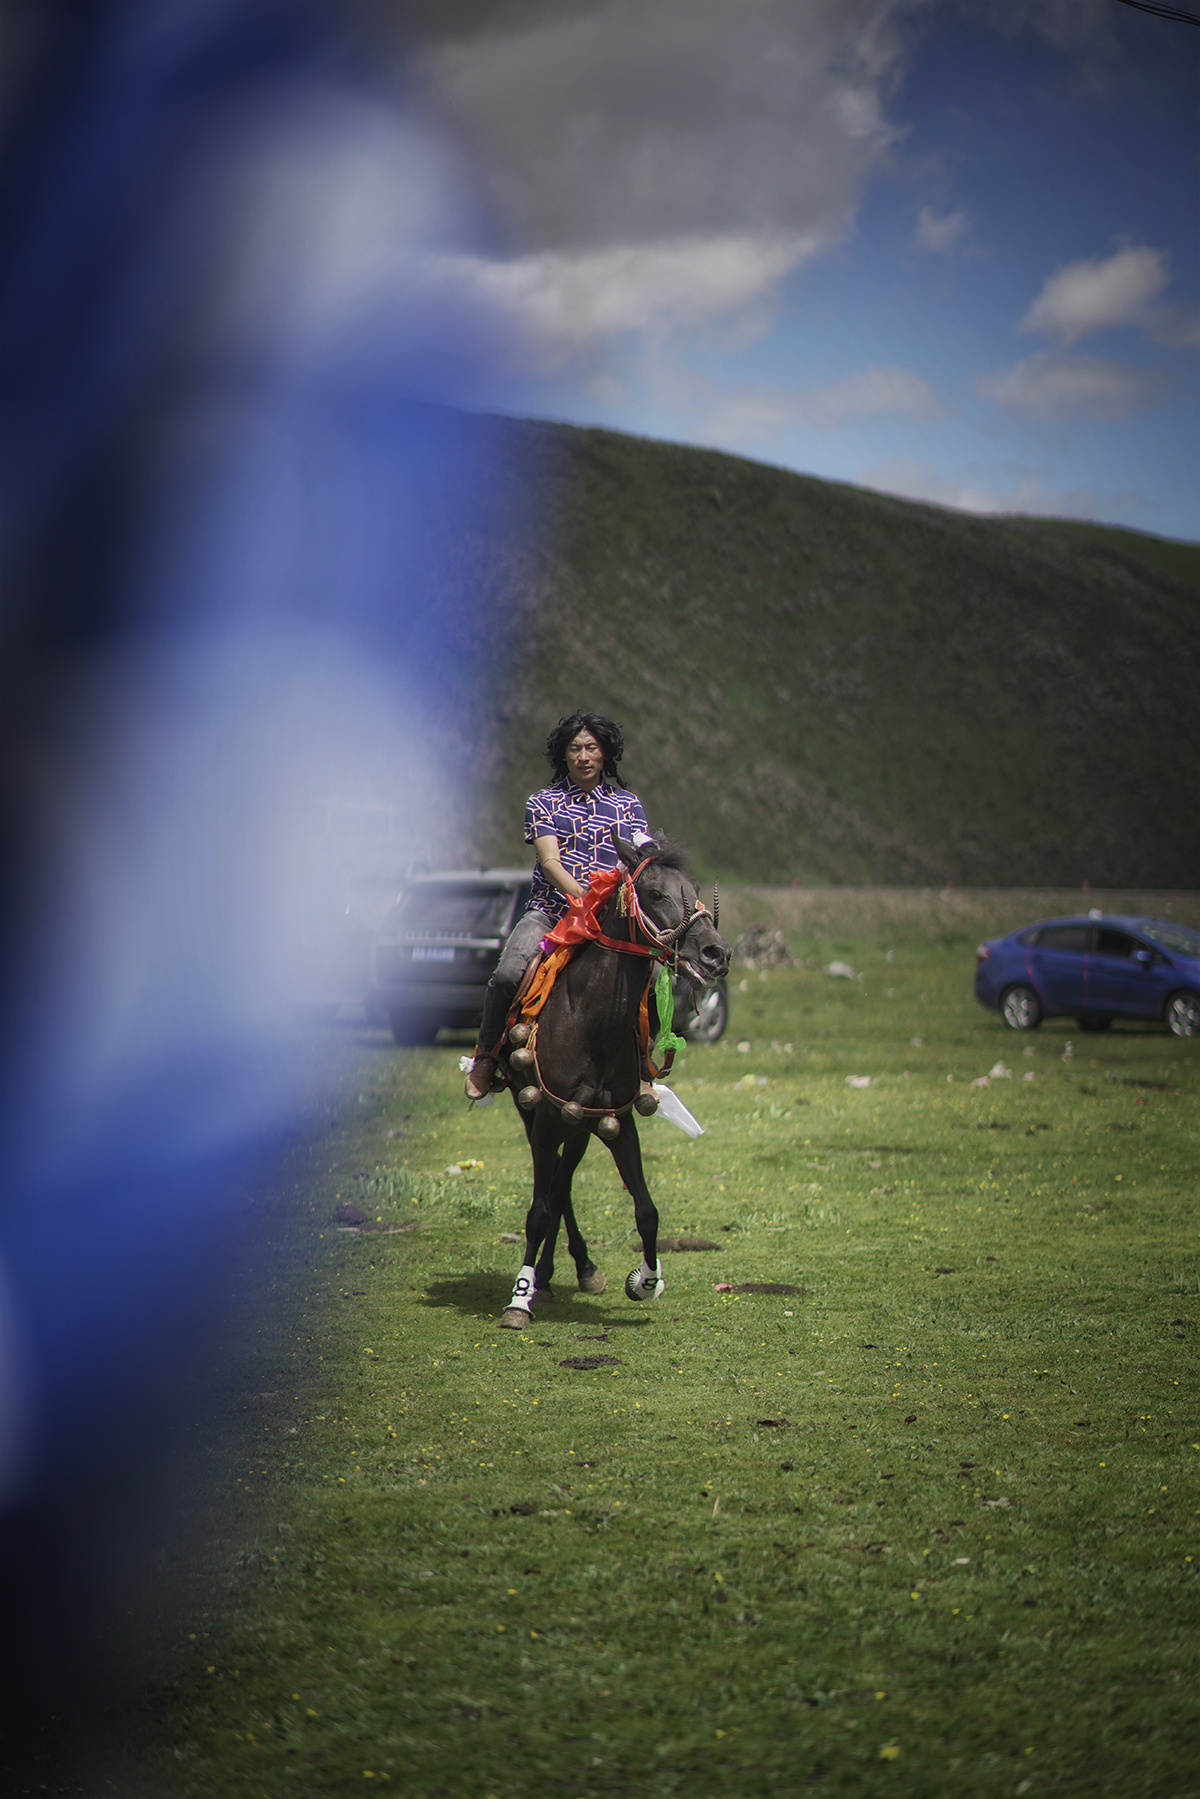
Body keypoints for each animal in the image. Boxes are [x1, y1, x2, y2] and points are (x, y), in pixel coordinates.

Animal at [493, 834, 731, 1329]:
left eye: (695, 889)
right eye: (656, 893)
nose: (717, 954)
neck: (592, 1022)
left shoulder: (616, 1120)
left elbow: (647, 1210)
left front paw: (646, 1281)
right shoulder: (546, 1116)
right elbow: (538, 1212)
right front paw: (518, 1301)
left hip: (580, 1124)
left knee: (562, 1184)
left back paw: (570, 1272)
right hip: (532, 1111)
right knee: (553, 1189)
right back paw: (541, 1281)